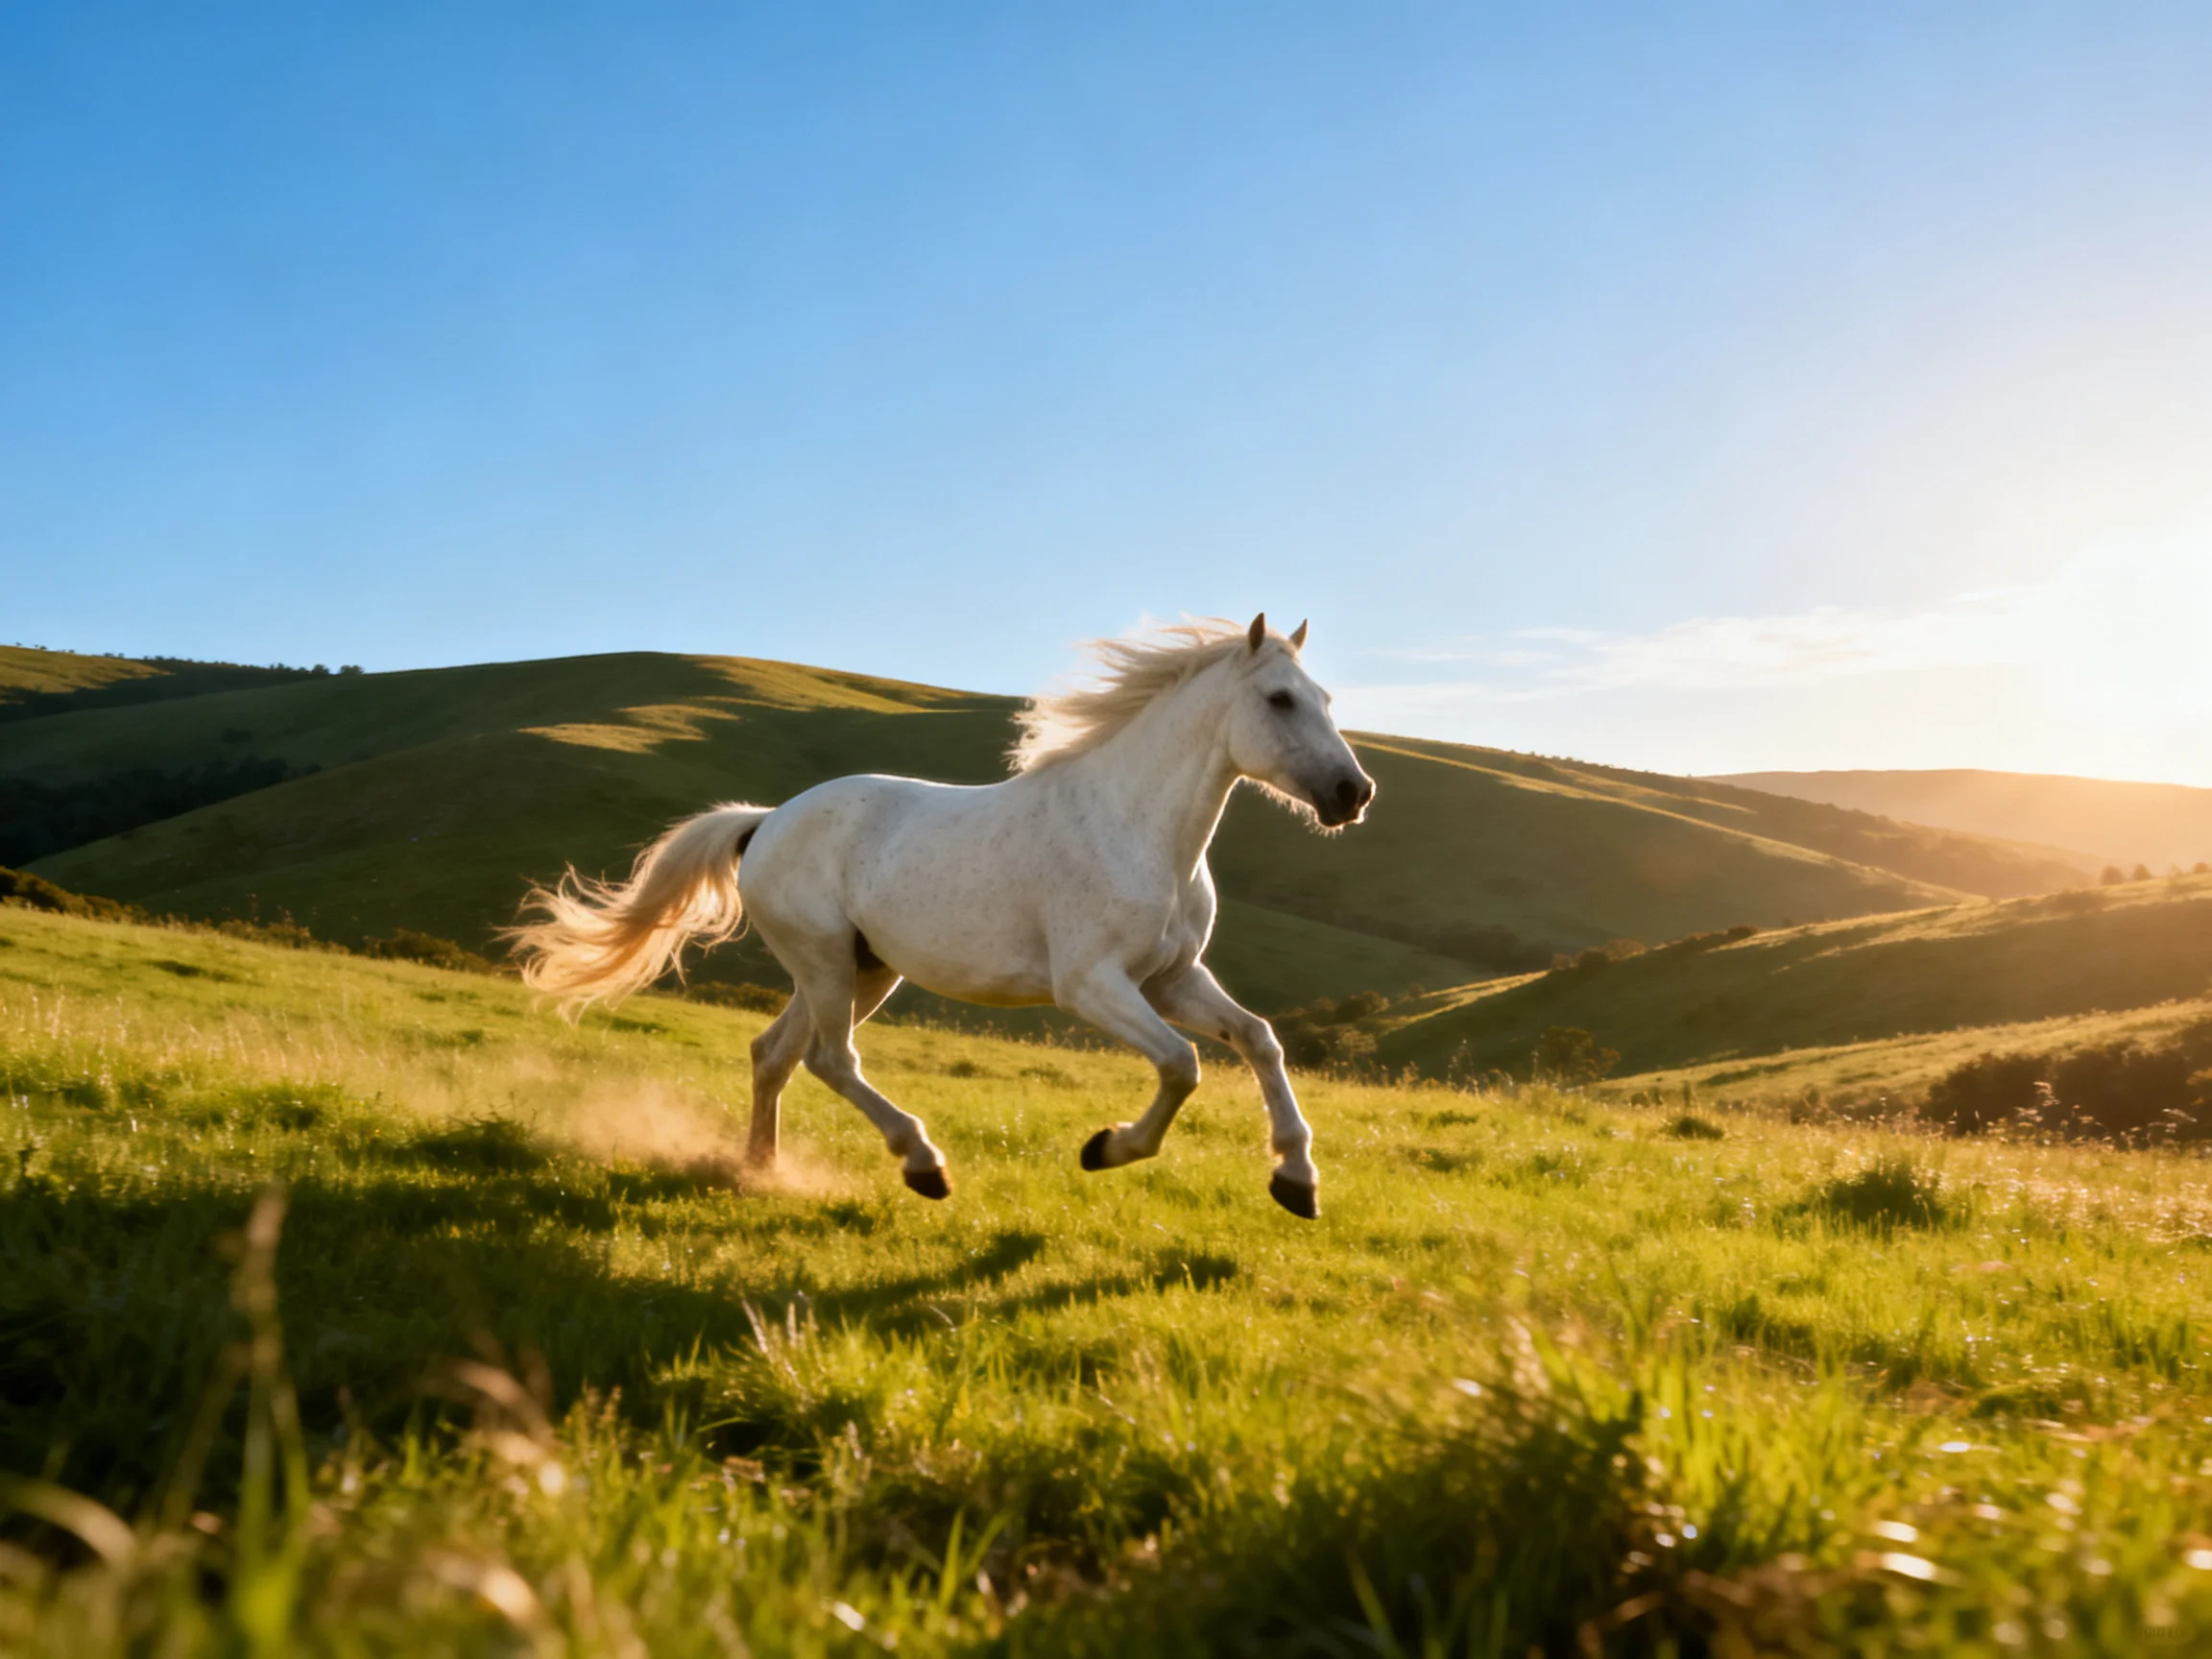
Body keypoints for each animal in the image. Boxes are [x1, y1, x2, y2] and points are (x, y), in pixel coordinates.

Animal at [505, 613, 1376, 1218]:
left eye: (1327, 700)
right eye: (1279, 699)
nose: (1353, 793)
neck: (1134, 827)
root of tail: (766, 820)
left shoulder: (1172, 979)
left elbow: (1259, 1040)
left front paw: (1297, 1182)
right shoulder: (1092, 985)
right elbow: (1181, 1065)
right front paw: (1106, 1149)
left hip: (860, 969)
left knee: (774, 1054)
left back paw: (762, 1170)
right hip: (826, 961)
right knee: (830, 1060)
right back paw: (923, 1165)